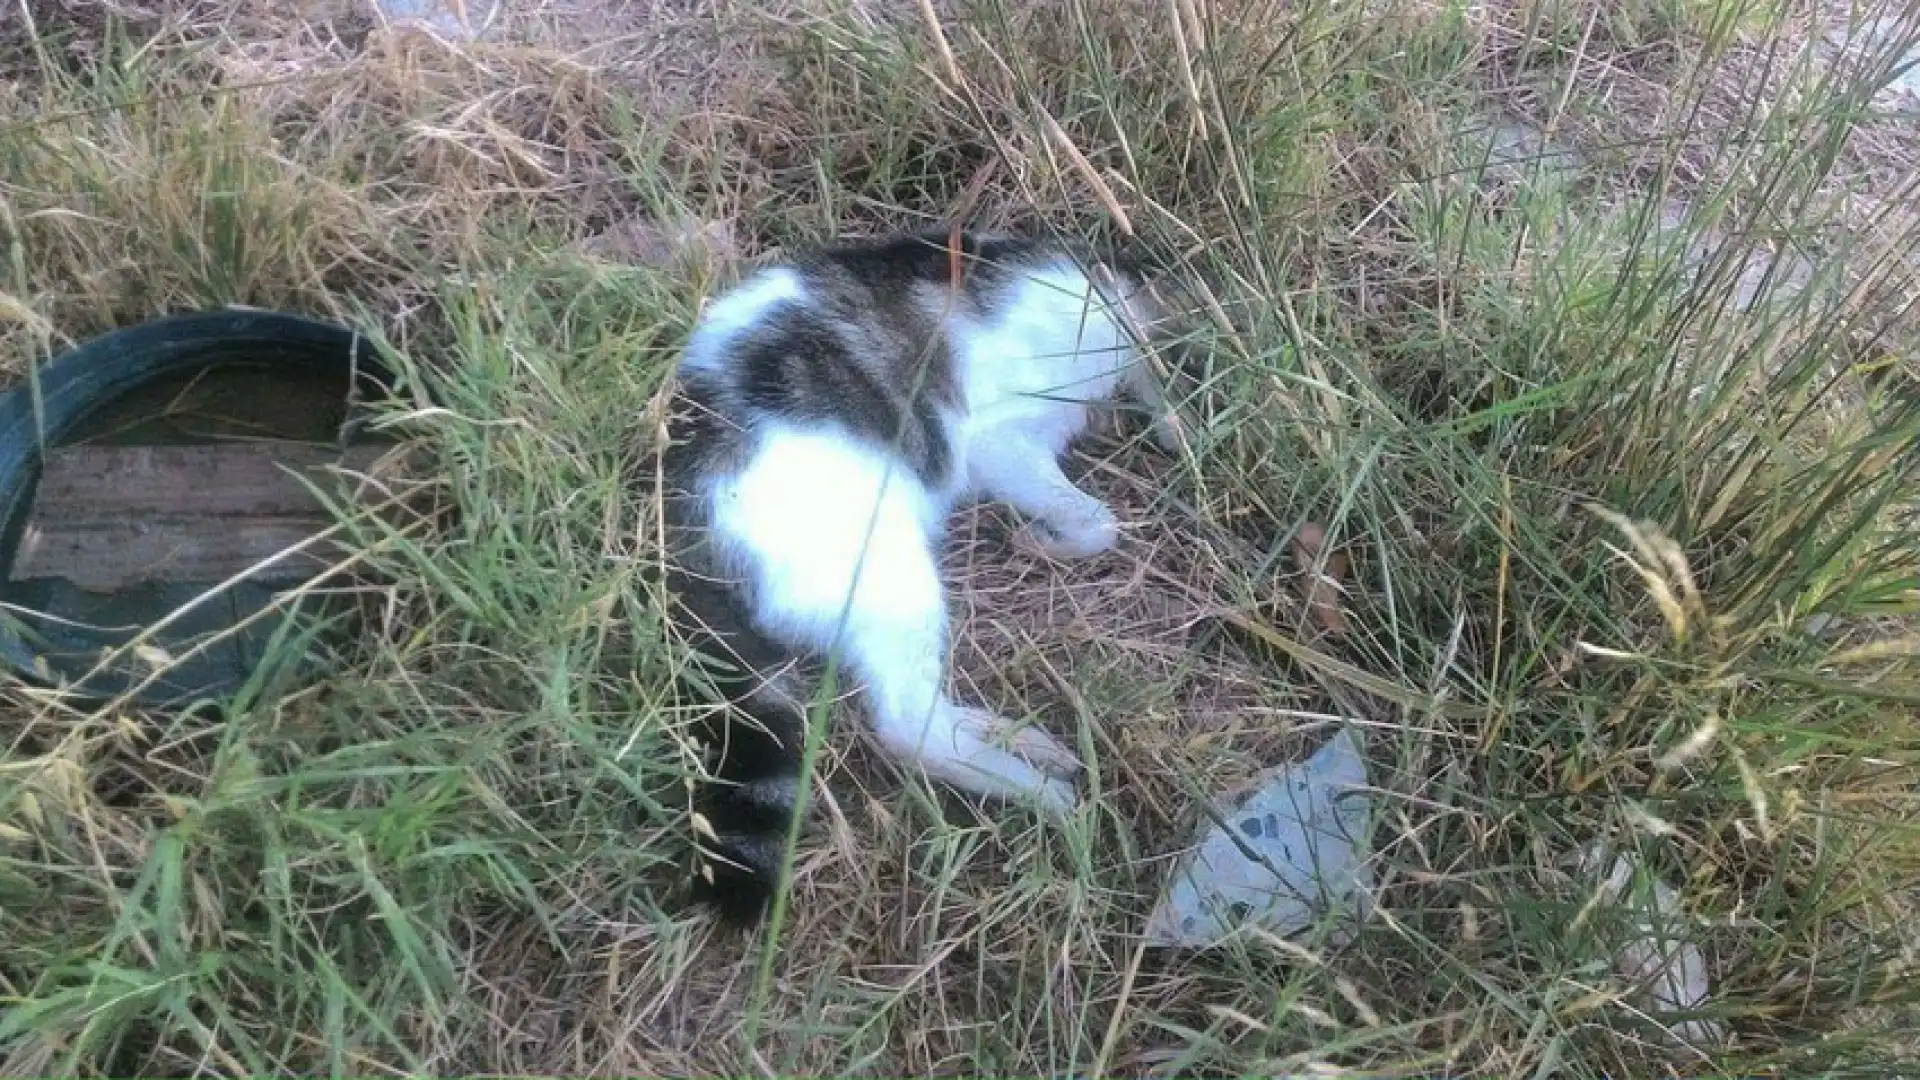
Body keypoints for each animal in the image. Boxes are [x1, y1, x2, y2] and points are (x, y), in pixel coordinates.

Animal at [652, 226, 1175, 914]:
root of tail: (686, 531)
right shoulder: (1003, 439)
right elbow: (1095, 520)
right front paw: (1044, 541)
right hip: (888, 569)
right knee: (908, 725)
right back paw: (1039, 793)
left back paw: (1017, 740)